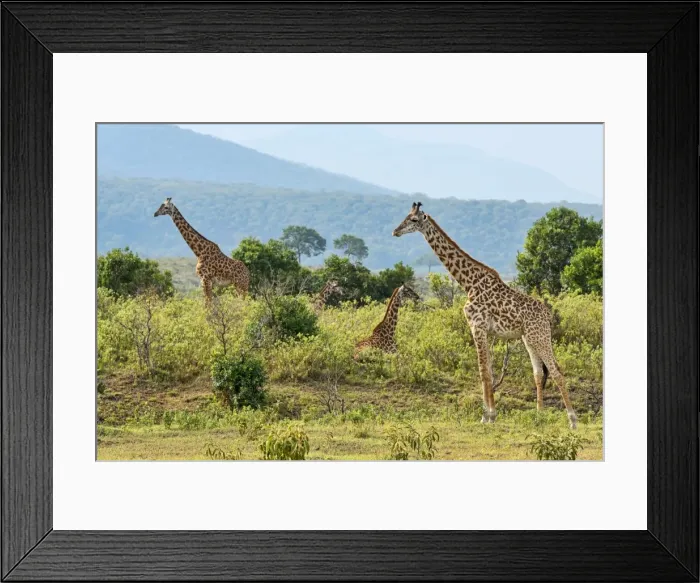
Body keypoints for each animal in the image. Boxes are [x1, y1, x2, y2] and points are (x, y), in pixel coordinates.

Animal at [392, 202, 577, 429]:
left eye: (413, 220)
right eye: (405, 216)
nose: (395, 231)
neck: (468, 282)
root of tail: (547, 315)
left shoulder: (477, 326)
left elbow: (483, 372)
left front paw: (487, 416)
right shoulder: (486, 331)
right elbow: (488, 371)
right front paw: (490, 414)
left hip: (540, 337)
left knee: (557, 371)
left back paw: (572, 420)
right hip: (529, 339)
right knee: (539, 373)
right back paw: (539, 416)